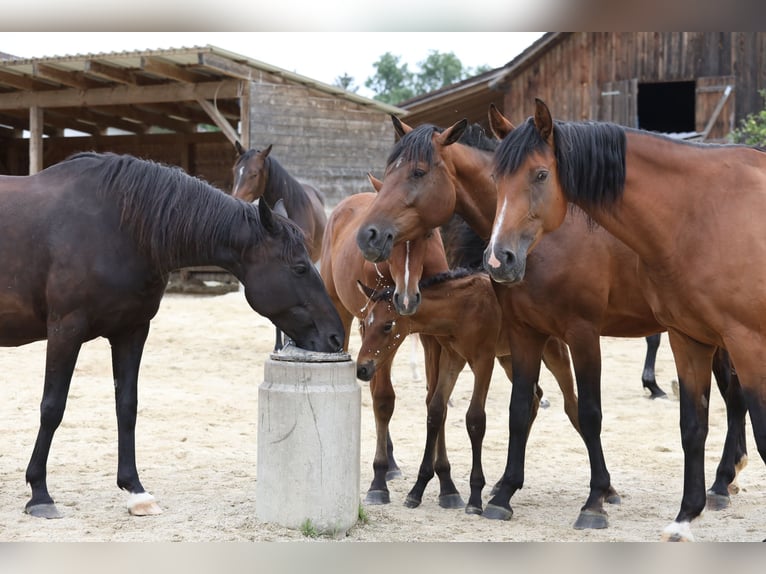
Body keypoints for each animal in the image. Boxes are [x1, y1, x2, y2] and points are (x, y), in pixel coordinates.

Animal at [0, 153, 344, 520]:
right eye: (299, 268)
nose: (335, 337)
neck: (118, 228)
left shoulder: (131, 330)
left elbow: (127, 406)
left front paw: (136, 491)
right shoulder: (66, 329)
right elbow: (52, 407)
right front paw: (39, 492)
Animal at [356, 270, 580, 516]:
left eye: (388, 326)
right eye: (364, 325)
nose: (362, 368)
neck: (461, 308)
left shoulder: (483, 361)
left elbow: (475, 419)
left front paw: (475, 497)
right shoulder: (452, 358)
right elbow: (436, 411)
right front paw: (417, 490)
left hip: (552, 350)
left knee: (572, 405)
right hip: (511, 357)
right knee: (534, 399)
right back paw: (502, 483)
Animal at [488, 97, 764, 544]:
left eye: (541, 174)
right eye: (495, 177)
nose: (499, 259)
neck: (703, 213)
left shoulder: (748, 343)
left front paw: (594, 502)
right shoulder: (689, 339)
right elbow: (692, 426)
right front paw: (685, 518)